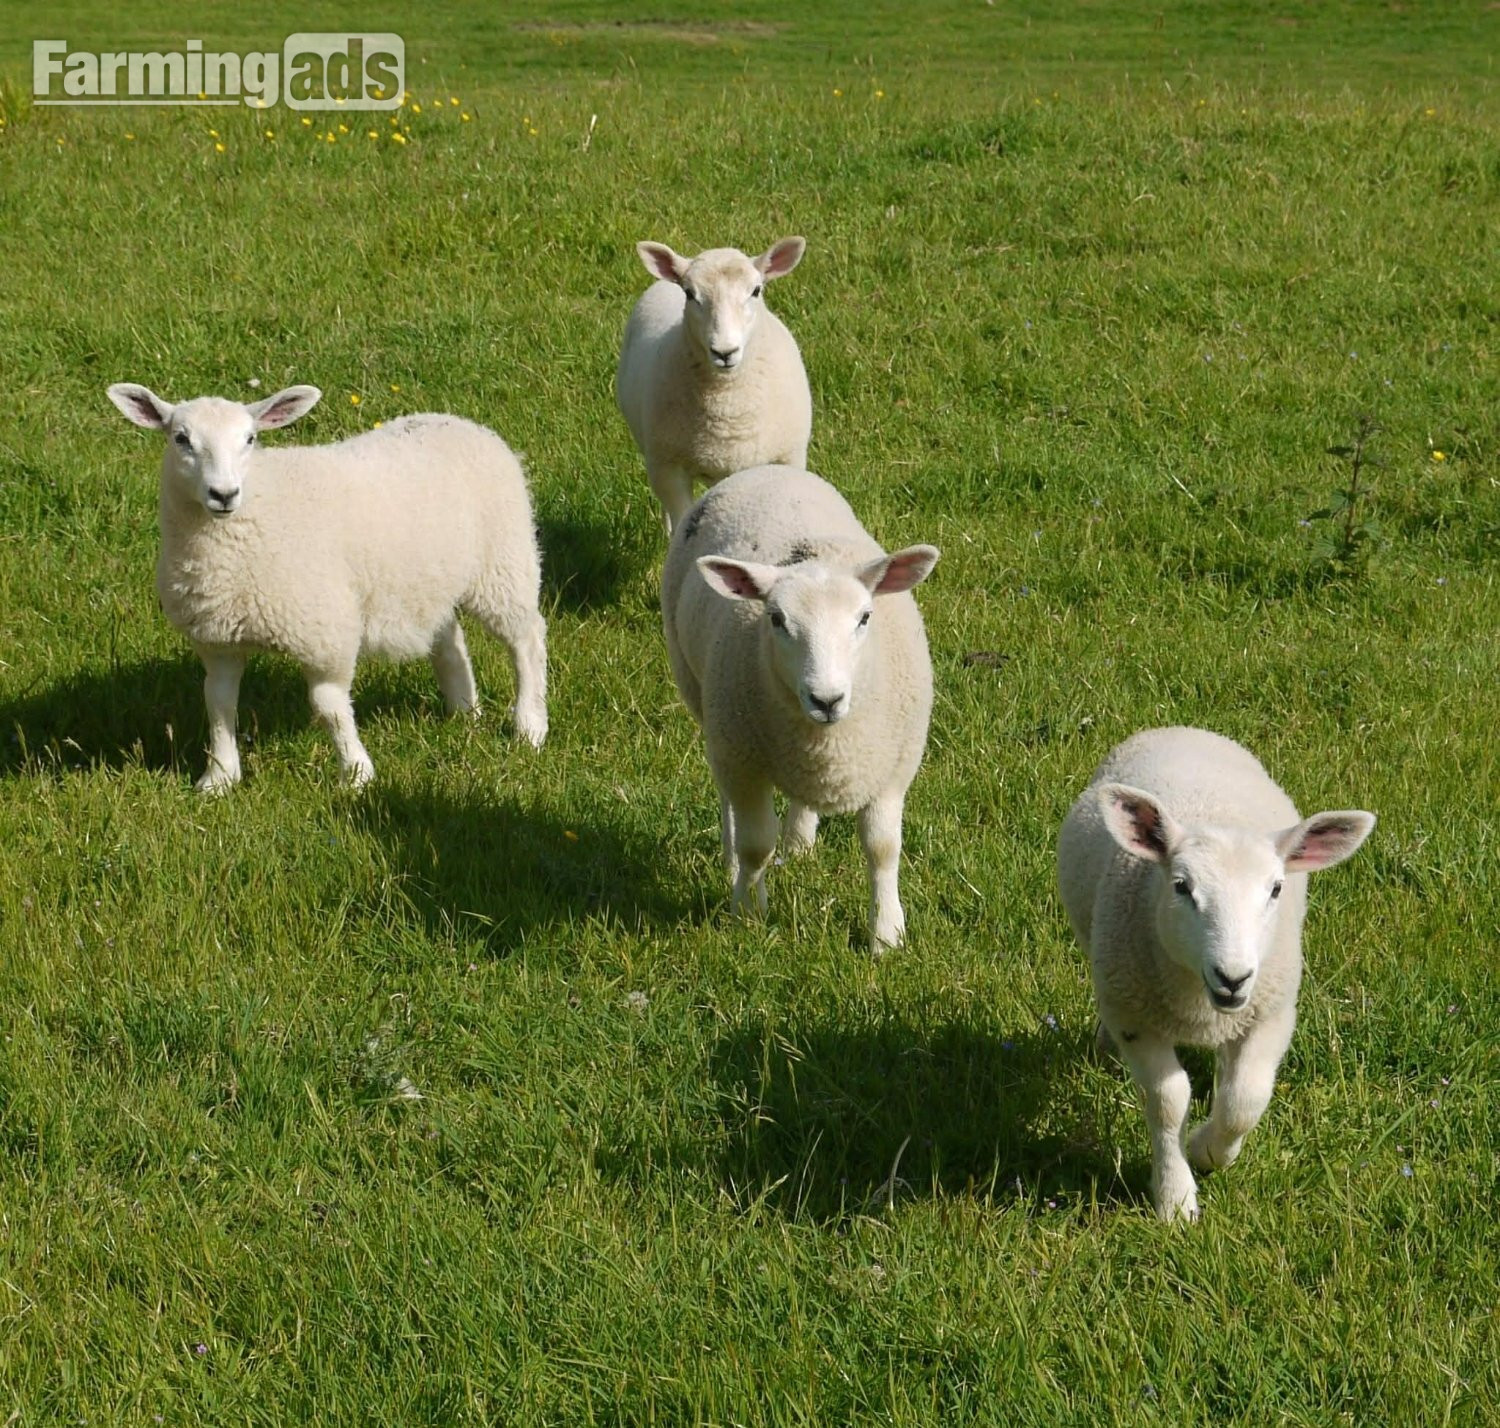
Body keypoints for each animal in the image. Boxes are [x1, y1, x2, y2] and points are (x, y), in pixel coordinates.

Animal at [106, 382, 548, 792]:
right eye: (181, 438)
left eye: (250, 439)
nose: (224, 494)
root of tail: (462, 423)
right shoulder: (217, 639)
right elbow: (218, 702)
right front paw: (219, 778)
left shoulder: (324, 632)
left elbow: (330, 706)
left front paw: (356, 774)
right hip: (427, 580)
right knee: (451, 640)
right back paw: (463, 711)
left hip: (504, 565)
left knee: (526, 639)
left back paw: (529, 725)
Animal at [616, 236, 812, 534]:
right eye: (689, 293)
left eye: (756, 290)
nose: (724, 352)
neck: (728, 402)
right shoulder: (667, 468)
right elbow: (680, 516)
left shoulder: (788, 458)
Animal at [661, 464, 939, 953]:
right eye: (776, 619)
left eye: (865, 617)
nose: (826, 700)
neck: (828, 742)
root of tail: (765, 469)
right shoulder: (743, 761)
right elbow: (756, 845)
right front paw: (749, 912)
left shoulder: (892, 767)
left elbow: (883, 848)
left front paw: (886, 934)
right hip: (707, 708)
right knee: (728, 802)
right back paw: (731, 859)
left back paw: (800, 842)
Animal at [1056, 726, 1375, 1222]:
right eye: (1181, 887)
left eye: (1276, 889)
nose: (1233, 977)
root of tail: (1179, 729)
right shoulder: (1136, 1016)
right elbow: (1168, 1102)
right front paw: (1175, 1198)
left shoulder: (1271, 1012)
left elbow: (1244, 1099)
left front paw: (1208, 1152)